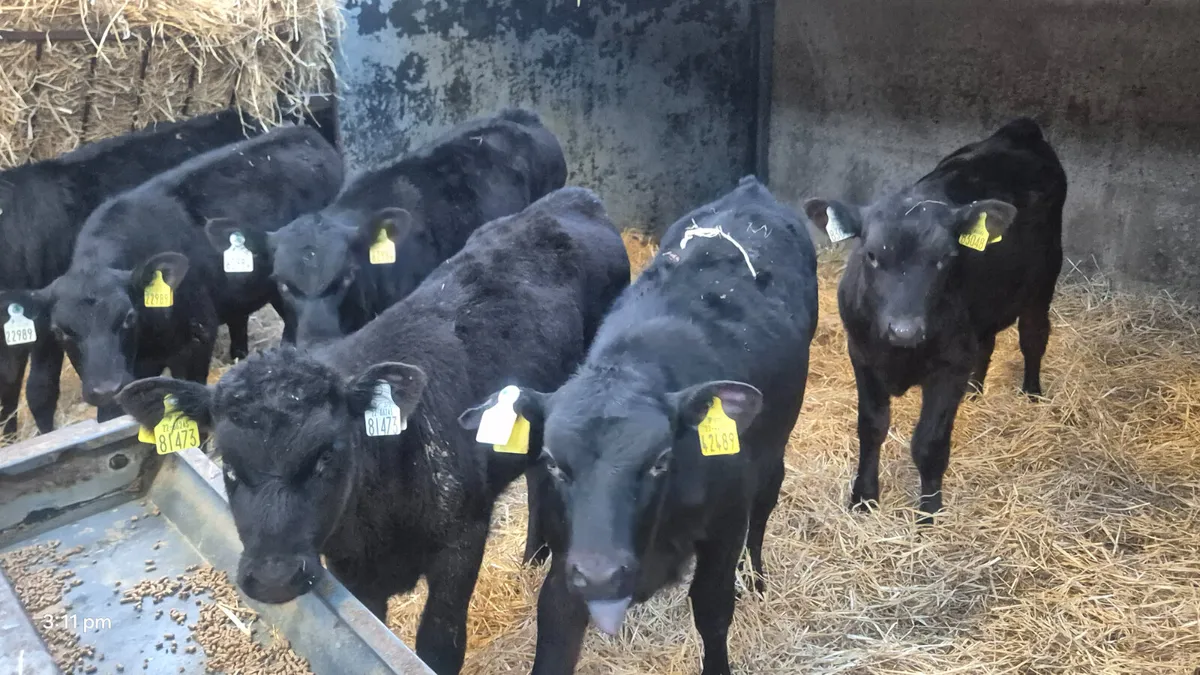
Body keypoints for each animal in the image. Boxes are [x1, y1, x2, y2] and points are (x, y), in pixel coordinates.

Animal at [115, 187, 631, 675]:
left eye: (327, 454)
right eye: (227, 461)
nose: (274, 577)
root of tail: (575, 198)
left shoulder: (462, 541)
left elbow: (438, 646)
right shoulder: (352, 569)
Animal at [461, 176, 819, 675]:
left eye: (660, 460)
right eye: (552, 462)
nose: (602, 574)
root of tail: (750, 190)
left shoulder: (726, 524)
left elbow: (712, 609)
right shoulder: (571, 560)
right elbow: (554, 624)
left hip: (774, 447)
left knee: (765, 504)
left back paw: (756, 577)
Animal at [803, 117, 1067, 521]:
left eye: (945, 257)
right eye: (872, 255)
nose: (904, 329)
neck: (899, 353)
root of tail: (1020, 129)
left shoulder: (949, 366)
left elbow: (929, 441)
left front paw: (929, 512)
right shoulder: (862, 355)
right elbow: (871, 428)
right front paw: (864, 497)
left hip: (1044, 279)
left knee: (1033, 337)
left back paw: (1032, 392)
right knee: (987, 342)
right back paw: (976, 390)